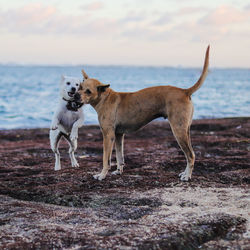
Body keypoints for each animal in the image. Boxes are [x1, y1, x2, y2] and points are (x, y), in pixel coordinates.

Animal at [77, 46, 209, 181]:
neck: (105, 97)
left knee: (191, 155)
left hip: (178, 130)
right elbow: (120, 156)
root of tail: (185, 91)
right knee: (190, 154)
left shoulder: (108, 136)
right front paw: (118, 171)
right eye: (80, 87)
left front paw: (102, 175)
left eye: (88, 91)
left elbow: (106, 159)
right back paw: (185, 173)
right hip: (185, 130)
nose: (75, 95)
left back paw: (187, 176)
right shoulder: (118, 135)